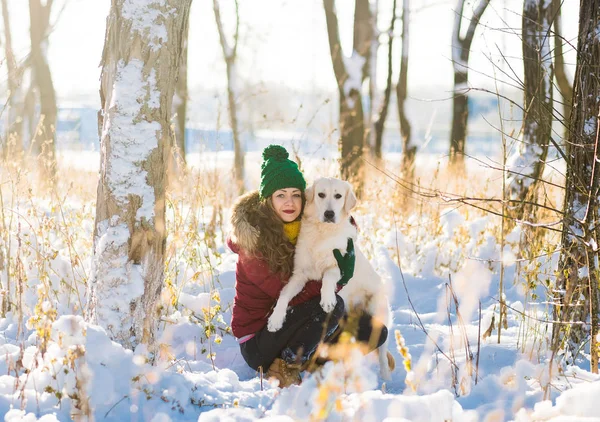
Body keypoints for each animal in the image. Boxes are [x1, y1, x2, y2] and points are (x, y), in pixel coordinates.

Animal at [268, 176, 394, 380]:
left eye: (338, 196)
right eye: (321, 194)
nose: (329, 214)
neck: (322, 232)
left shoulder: (339, 265)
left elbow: (327, 277)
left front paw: (327, 300)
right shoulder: (299, 274)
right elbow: (284, 295)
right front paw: (275, 319)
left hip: (378, 314)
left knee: (383, 351)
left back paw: (385, 378)